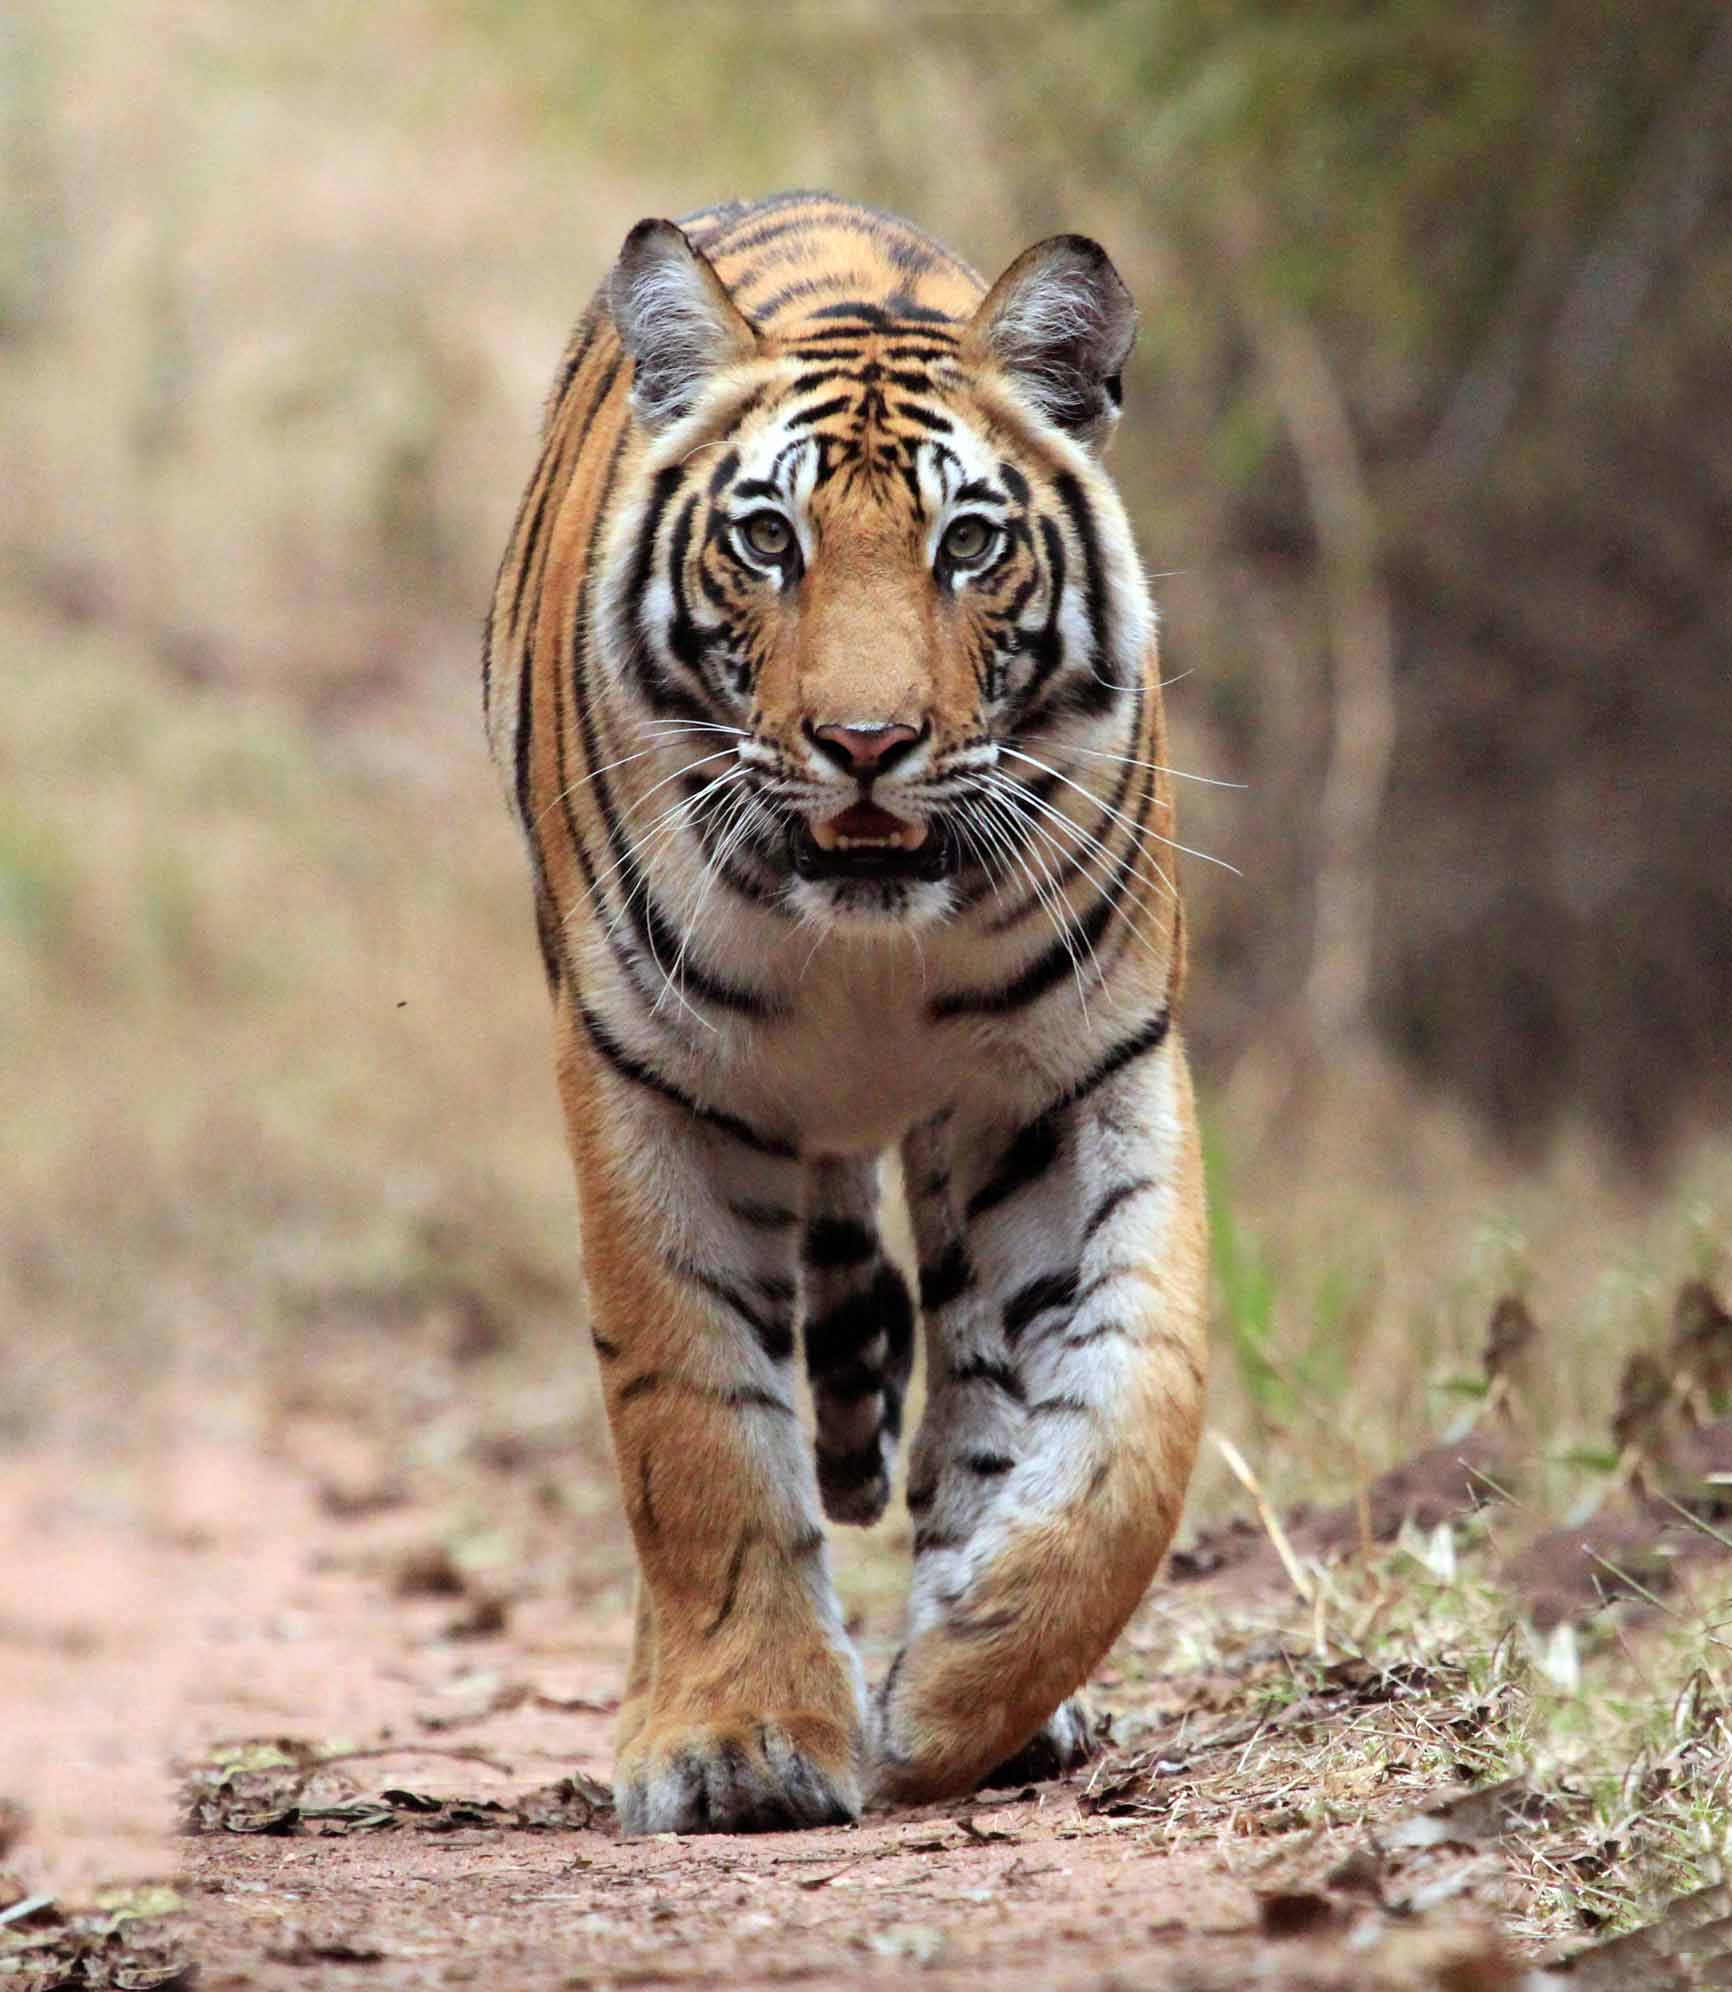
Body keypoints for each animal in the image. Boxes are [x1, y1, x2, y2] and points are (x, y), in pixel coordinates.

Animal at [483, 193, 1207, 1836]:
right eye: (769, 540)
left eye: (968, 544)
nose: (866, 743)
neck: (868, 951)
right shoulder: (652, 1081)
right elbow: (693, 1422)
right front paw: (737, 1745)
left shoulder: (1072, 1078)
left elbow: (1134, 1414)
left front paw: (963, 1688)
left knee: (980, 1391)